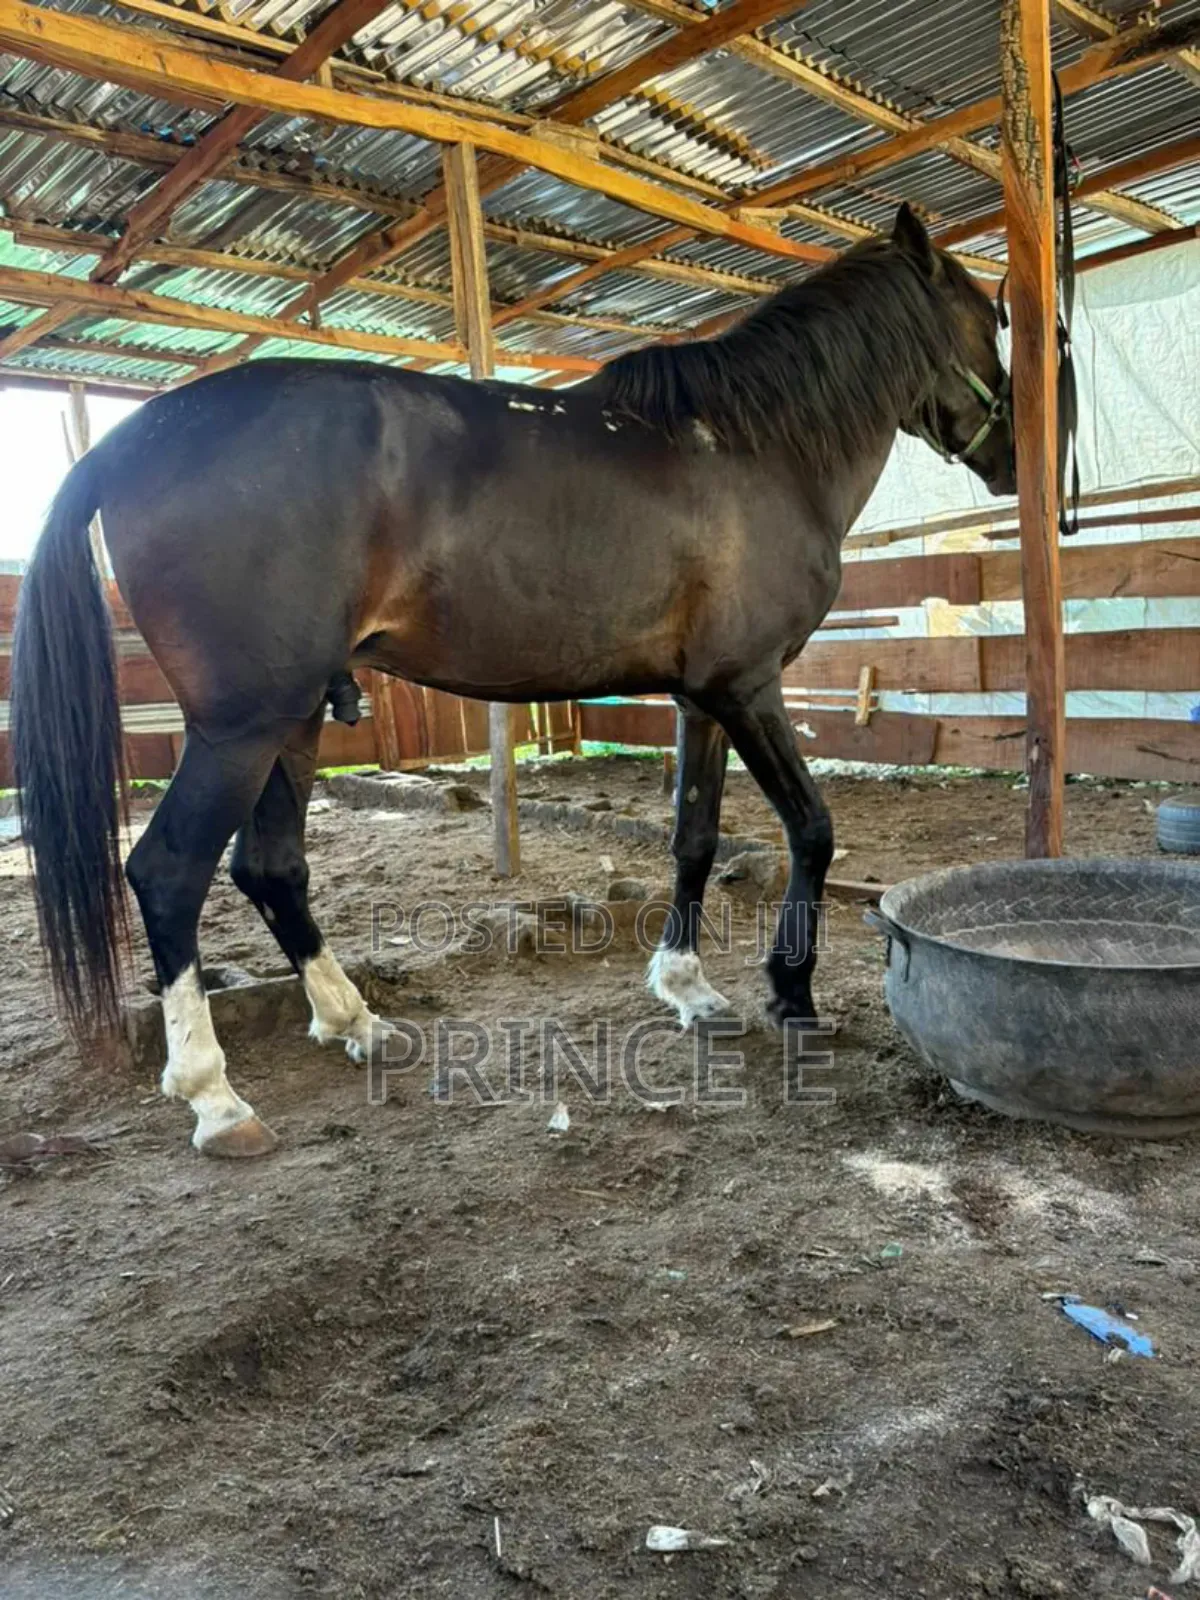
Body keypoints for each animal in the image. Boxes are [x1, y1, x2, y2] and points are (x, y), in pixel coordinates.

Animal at [11, 203, 1014, 1157]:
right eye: (988, 316)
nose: (1009, 458)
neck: (752, 449)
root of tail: (126, 442)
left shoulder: (701, 697)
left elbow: (693, 839)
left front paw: (687, 988)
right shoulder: (750, 687)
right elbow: (812, 829)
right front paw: (790, 992)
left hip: (288, 721)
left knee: (270, 868)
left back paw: (354, 1022)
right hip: (242, 728)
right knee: (170, 871)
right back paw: (216, 1099)